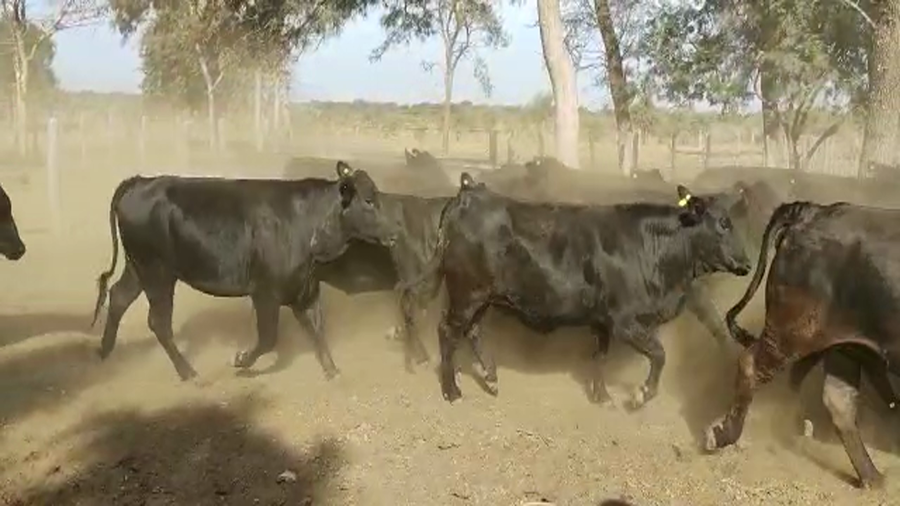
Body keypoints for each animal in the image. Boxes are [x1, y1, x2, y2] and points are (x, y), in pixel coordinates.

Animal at [89, 162, 396, 382]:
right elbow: (268, 338)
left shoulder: (305, 290)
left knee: (118, 298)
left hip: (138, 267)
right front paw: (241, 360)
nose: (394, 233)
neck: (309, 224)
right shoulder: (265, 294)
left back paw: (105, 354)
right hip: (157, 272)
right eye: (368, 200)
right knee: (159, 322)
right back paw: (189, 373)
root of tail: (141, 181)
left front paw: (332, 370)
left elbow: (318, 330)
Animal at [420, 172, 752, 406]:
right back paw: (452, 391)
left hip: (482, 297)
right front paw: (641, 394)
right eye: (723, 224)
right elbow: (659, 354)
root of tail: (469, 193)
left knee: (473, 331)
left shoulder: (601, 320)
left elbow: (599, 356)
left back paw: (490, 379)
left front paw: (601, 396)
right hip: (466, 293)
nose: (747, 262)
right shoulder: (624, 322)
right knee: (448, 332)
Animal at [705, 200, 900, 489]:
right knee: (751, 365)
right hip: (791, 334)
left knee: (839, 402)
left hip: (844, 346)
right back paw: (722, 435)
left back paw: (872, 478)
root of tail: (813, 212)